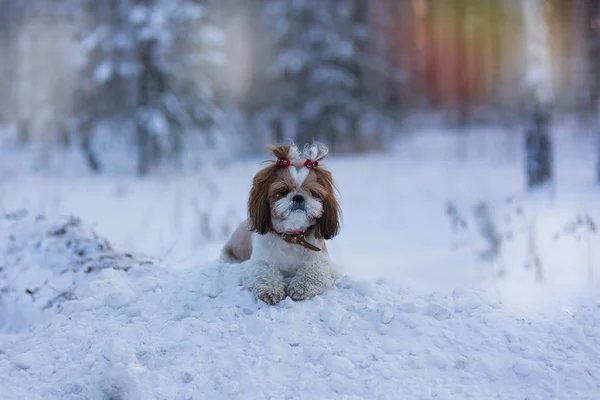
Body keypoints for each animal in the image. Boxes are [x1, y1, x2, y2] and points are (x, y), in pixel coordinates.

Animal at [221, 142, 342, 304]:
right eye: (283, 191)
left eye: (313, 192)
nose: (298, 197)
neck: (292, 237)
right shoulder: (260, 262)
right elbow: (265, 273)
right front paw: (270, 290)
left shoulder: (321, 262)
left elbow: (313, 271)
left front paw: (300, 287)